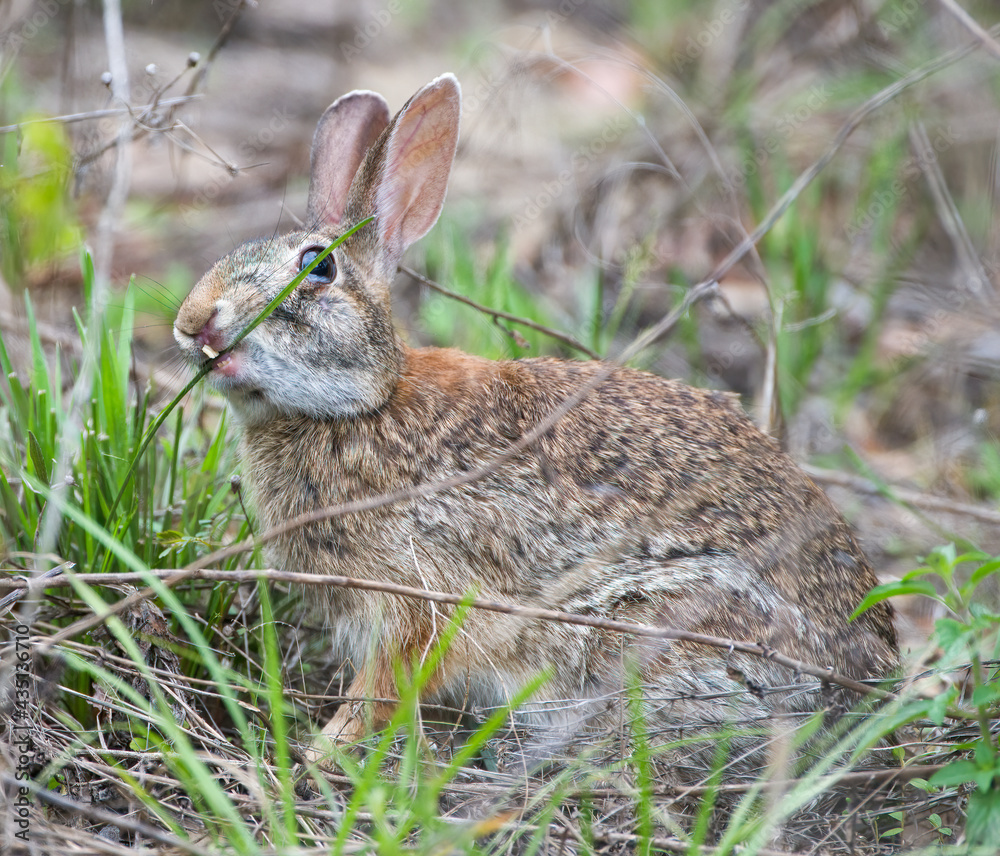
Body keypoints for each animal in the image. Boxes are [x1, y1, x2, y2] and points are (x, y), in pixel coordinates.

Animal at [174, 74, 898, 768]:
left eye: (317, 267)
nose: (192, 321)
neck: (362, 405)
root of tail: (867, 685)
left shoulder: (418, 596)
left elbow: (383, 687)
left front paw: (321, 750)